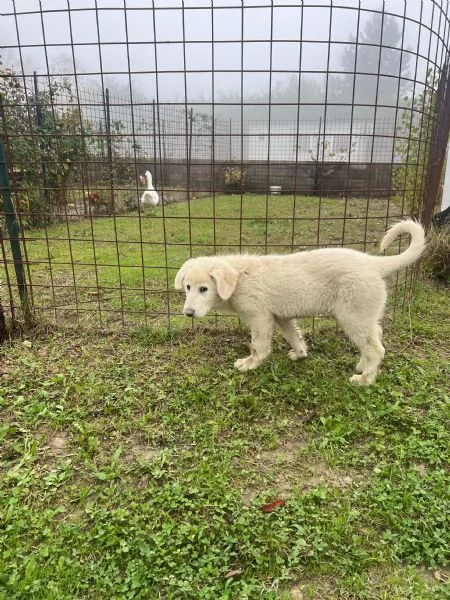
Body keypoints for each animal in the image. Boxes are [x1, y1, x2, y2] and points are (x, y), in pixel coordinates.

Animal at [175, 220, 426, 384]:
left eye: (204, 289)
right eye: (187, 287)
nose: (188, 313)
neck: (239, 278)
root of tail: (372, 263)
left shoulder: (260, 318)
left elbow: (258, 345)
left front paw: (250, 363)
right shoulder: (280, 317)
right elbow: (293, 336)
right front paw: (300, 354)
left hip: (352, 317)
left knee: (376, 349)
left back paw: (365, 379)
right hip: (365, 317)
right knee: (375, 338)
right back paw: (363, 366)